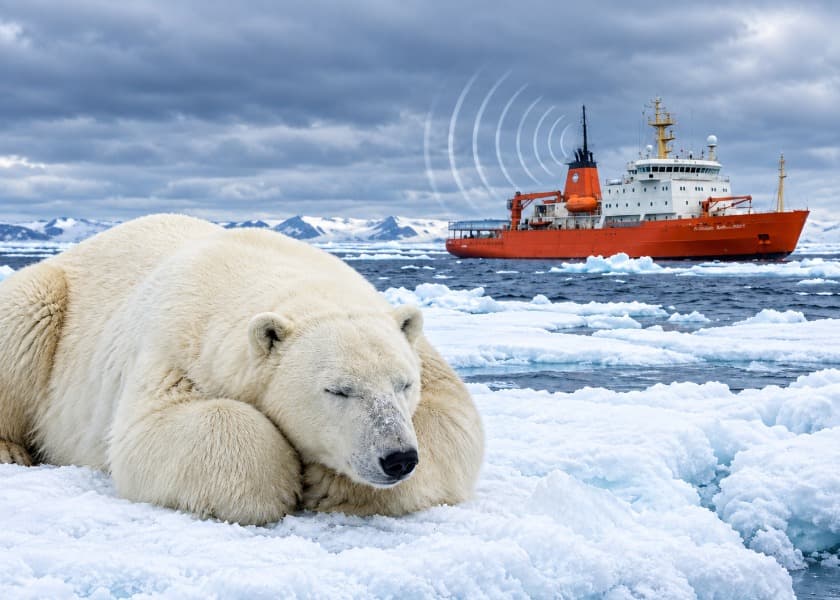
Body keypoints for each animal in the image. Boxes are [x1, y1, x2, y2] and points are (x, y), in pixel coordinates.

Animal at [0, 214, 484, 525]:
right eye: (338, 390)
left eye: (404, 384)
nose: (398, 458)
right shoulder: (173, 346)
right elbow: (155, 432)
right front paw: (289, 481)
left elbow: (452, 414)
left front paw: (333, 484)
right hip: (49, 299)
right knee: (25, 318)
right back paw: (11, 450)